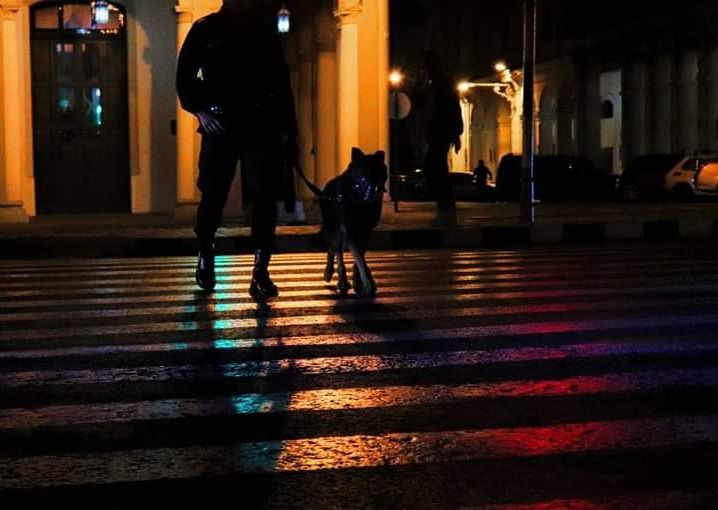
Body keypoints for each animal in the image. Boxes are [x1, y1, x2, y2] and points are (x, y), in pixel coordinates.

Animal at [320, 147, 388, 296]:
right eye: (362, 173)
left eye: (376, 172)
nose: (371, 191)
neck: (361, 203)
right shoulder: (350, 230)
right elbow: (358, 257)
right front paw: (367, 284)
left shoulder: (366, 231)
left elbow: (360, 258)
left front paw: (360, 283)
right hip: (335, 228)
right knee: (336, 251)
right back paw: (340, 280)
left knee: (333, 249)